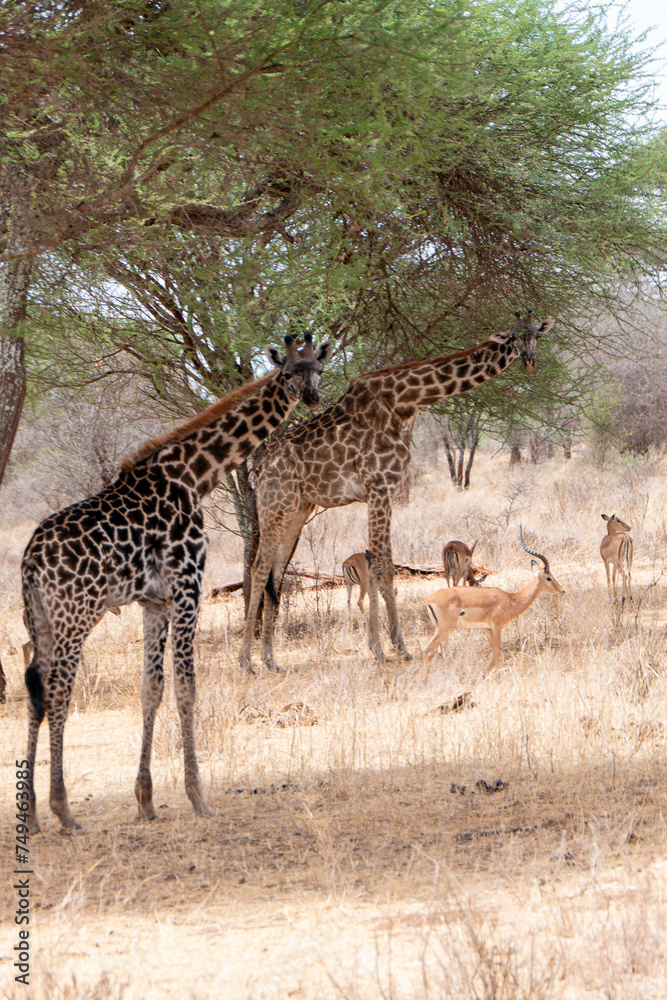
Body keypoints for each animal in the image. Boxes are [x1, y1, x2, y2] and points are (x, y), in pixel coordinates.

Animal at [22, 334, 332, 834]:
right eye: (287, 372)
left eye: (318, 370)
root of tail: (29, 561)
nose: (310, 398)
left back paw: (30, 812)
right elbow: (187, 689)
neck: (193, 475)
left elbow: (151, 690)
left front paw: (145, 800)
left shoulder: (154, 602)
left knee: (34, 690)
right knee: (57, 692)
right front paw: (198, 797)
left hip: (40, 621)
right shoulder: (189, 586)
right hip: (76, 616)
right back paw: (63, 810)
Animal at [239, 313, 555, 671]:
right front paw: (385, 648)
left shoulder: (387, 490)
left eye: (536, 335)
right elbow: (381, 569)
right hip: (275, 503)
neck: (404, 400)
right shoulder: (377, 487)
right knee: (258, 567)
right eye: (515, 337)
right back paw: (246, 660)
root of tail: (260, 466)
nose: (529, 360)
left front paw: (392, 647)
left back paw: (270, 659)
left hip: (298, 507)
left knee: (275, 572)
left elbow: (386, 567)